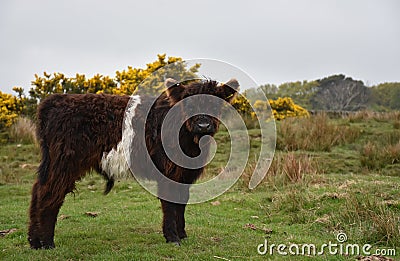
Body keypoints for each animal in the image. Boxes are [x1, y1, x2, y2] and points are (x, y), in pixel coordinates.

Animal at [28, 77, 241, 248]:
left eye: (215, 104)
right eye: (188, 105)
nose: (203, 125)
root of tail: (56, 100)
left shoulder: (184, 174)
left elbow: (182, 201)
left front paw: (182, 234)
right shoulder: (168, 172)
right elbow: (170, 203)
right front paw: (173, 238)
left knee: (38, 190)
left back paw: (34, 241)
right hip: (64, 162)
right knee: (49, 194)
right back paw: (47, 242)